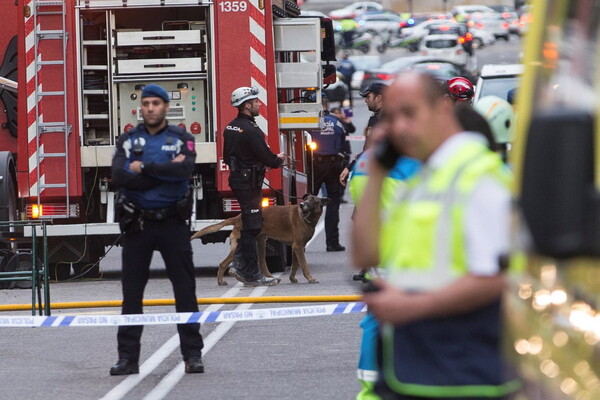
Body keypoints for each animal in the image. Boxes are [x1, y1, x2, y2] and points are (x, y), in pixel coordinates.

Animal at [190, 195, 328, 286]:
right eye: (306, 199)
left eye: (313, 200)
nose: (301, 205)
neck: (307, 219)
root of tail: (238, 217)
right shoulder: (298, 247)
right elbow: (304, 265)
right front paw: (310, 279)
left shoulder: (296, 247)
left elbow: (295, 265)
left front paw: (292, 278)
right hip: (241, 245)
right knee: (223, 263)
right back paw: (221, 281)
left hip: (261, 242)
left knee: (262, 263)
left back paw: (269, 278)